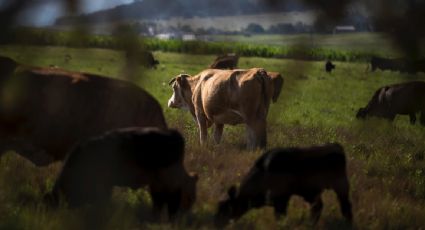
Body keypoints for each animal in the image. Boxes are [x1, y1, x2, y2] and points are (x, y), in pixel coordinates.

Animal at [215, 143, 352, 227]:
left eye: (226, 208)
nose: (216, 223)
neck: (264, 172)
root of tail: (336, 146)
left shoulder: (281, 200)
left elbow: (280, 217)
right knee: (317, 207)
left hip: (341, 187)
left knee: (345, 207)